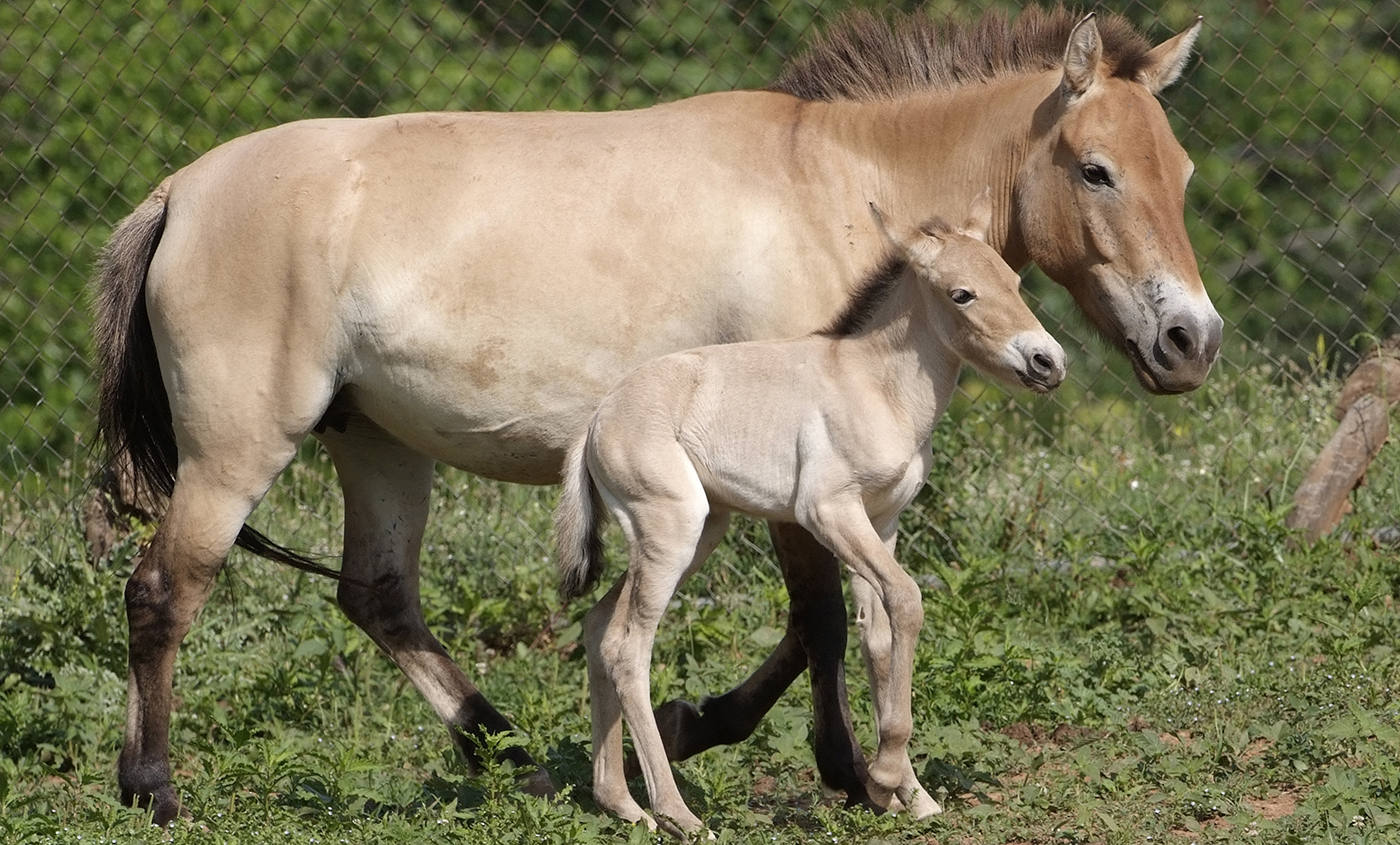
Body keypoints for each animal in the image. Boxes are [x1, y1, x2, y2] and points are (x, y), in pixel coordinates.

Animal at [551, 195, 1064, 833]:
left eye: (1015, 282)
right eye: (961, 293)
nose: (1048, 362)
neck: (876, 387)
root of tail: (598, 418)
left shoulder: (883, 524)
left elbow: (879, 636)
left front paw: (909, 795)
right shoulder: (827, 512)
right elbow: (908, 601)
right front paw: (885, 780)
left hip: (697, 533)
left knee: (598, 626)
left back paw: (622, 805)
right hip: (671, 532)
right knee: (627, 647)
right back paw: (679, 816)